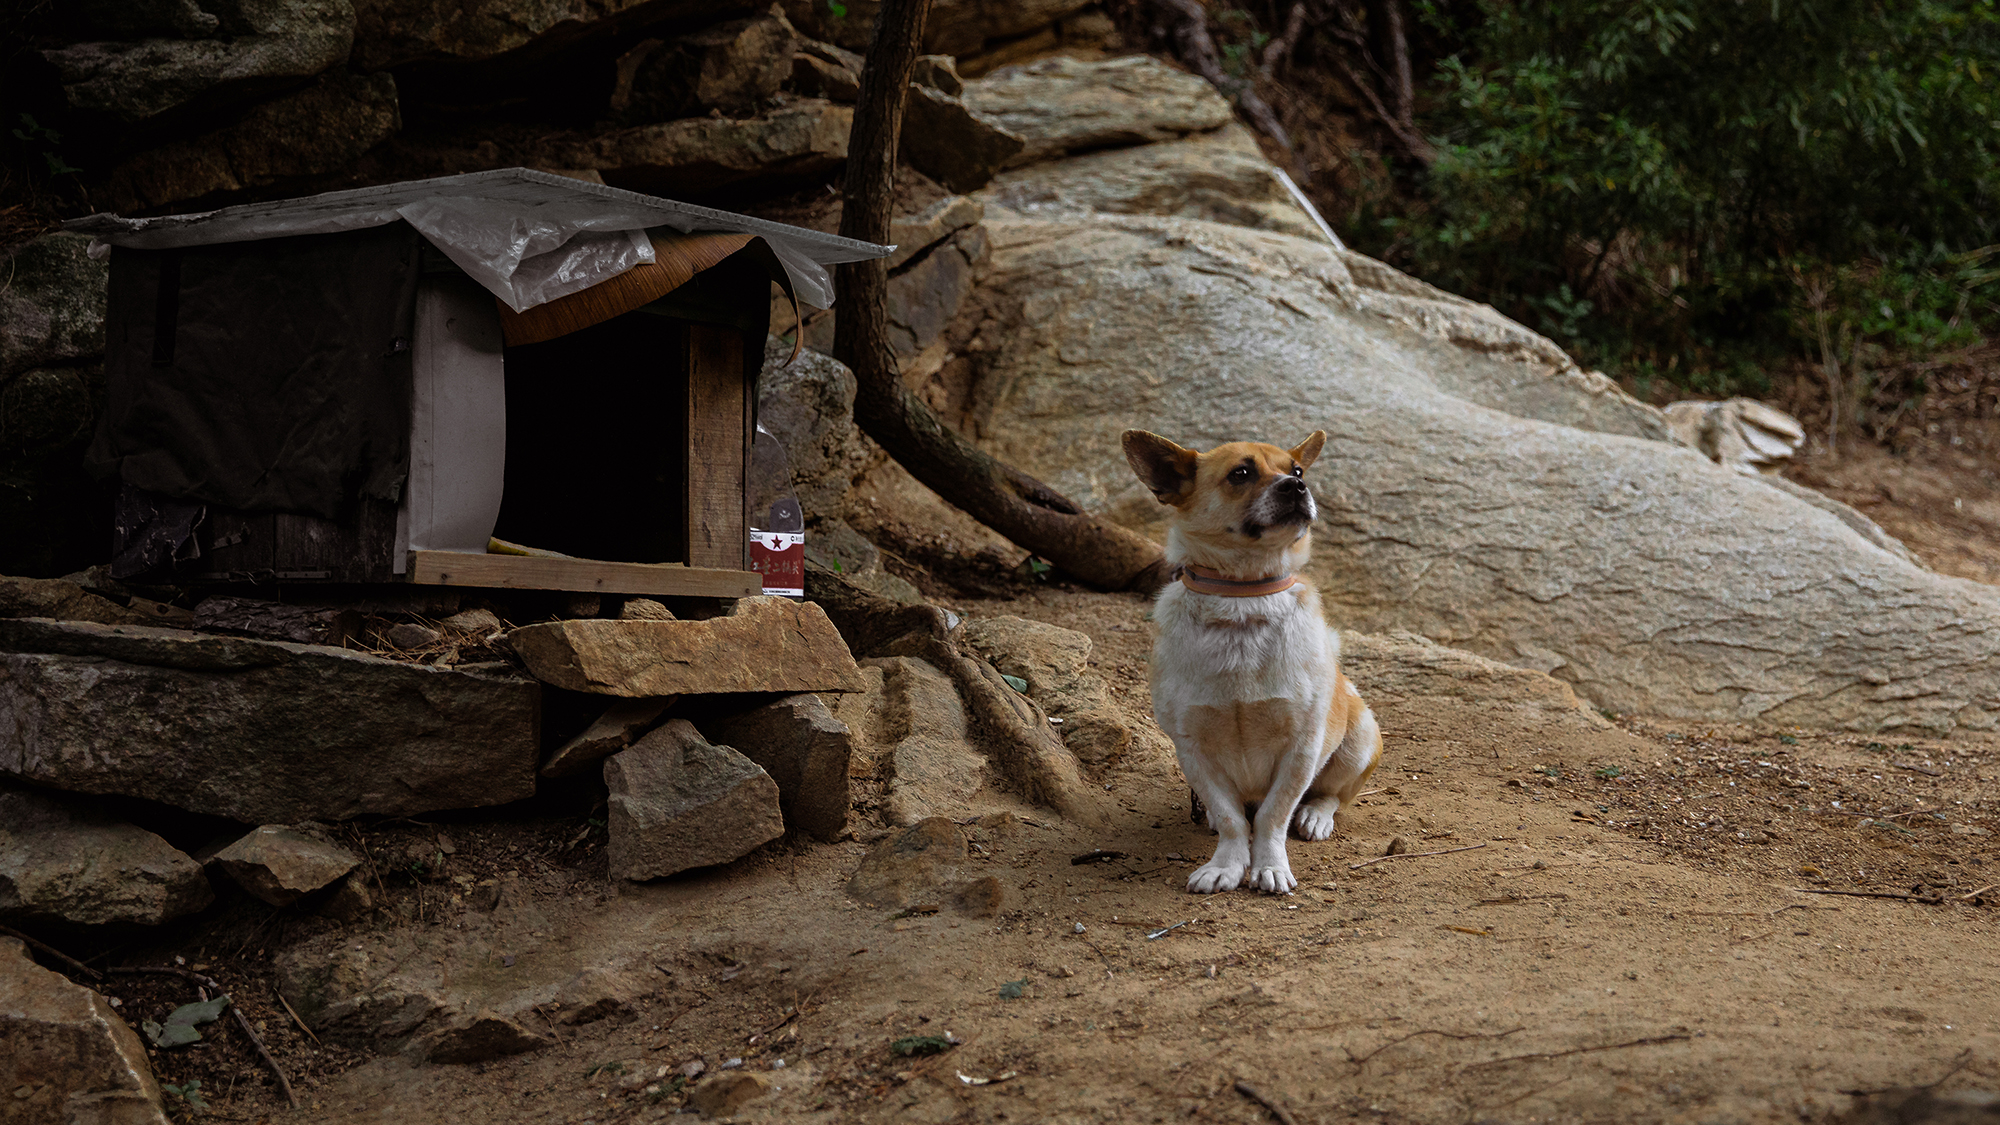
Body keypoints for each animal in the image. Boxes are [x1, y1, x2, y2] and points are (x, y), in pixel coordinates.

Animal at [1120, 428, 1384, 892]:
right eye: (1240, 474)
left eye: (1297, 471)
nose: (1296, 486)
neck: (1242, 600)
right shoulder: (1194, 750)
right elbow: (1231, 818)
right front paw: (1226, 864)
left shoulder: (1301, 747)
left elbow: (1273, 815)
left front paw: (1270, 866)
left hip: (1360, 739)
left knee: (1330, 795)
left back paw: (1315, 815)